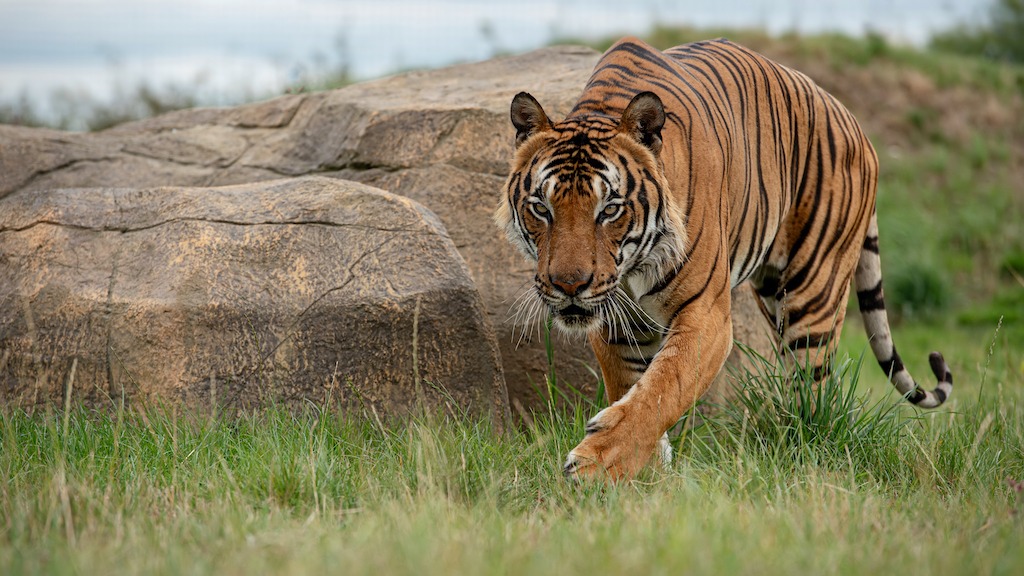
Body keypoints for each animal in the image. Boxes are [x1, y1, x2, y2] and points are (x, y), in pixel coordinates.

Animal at [494, 36, 953, 482]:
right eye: (541, 208)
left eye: (609, 209)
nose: (569, 286)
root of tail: (855, 122)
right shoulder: (617, 323)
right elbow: (632, 388)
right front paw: (647, 474)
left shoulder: (706, 315)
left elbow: (662, 390)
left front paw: (595, 465)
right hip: (772, 291)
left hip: (813, 296)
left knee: (815, 389)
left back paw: (805, 454)